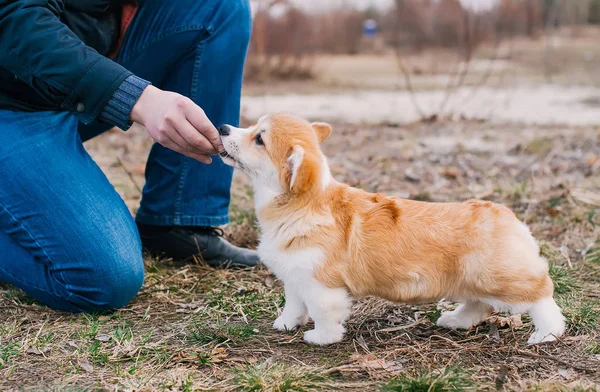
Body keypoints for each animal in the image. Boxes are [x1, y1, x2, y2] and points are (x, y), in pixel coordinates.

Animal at [218, 114, 564, 346]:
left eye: (259, 139)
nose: (222, 127)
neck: (300, 204)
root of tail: (507, 215)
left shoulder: (322, 285)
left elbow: (324, 313)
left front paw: (321, 338)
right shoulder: (295, 276)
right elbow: (294, 305)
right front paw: (286, 325)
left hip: (500, 277)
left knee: (541, 295)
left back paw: (547, 333)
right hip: (473, 279)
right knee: (478, 303)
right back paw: (454, 320)